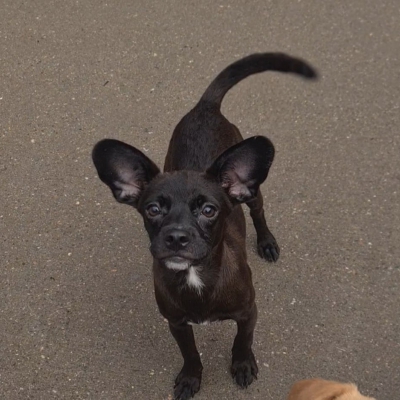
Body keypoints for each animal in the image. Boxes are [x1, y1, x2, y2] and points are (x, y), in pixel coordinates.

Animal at [92, 54, 318, 400]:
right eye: (152, 209)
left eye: (209, 210)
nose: (176, 237)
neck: (196, 277)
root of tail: (205, 107)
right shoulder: (176, 323)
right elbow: (190, 353)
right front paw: (190, 378)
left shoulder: (248, 313)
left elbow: (242, 340)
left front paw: (242, 365)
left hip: (252, 195)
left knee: (259, 213)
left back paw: (266, 242)